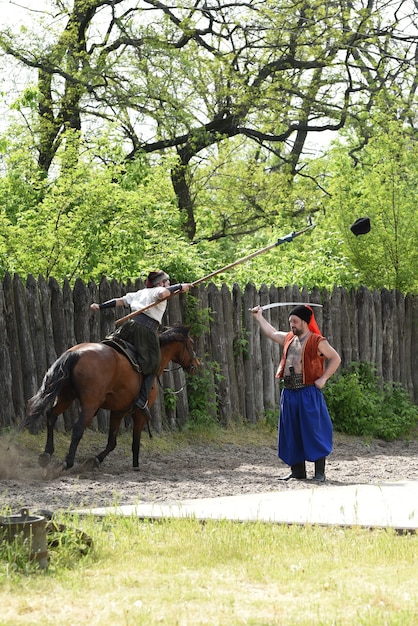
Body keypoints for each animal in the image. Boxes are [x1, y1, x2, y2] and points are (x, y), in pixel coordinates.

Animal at [22, 324, 199, 470]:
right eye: (191, 343)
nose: (196, 365)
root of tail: (76, 353)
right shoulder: (139, 414)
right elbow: (134, 441)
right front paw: (135, 464)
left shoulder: (117, 412)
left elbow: (112, 441)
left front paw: (95, 460)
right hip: (90, 404)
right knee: (78, 428)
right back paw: (67, 462)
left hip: (66, 396)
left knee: (51, 416)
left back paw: (46, 455)